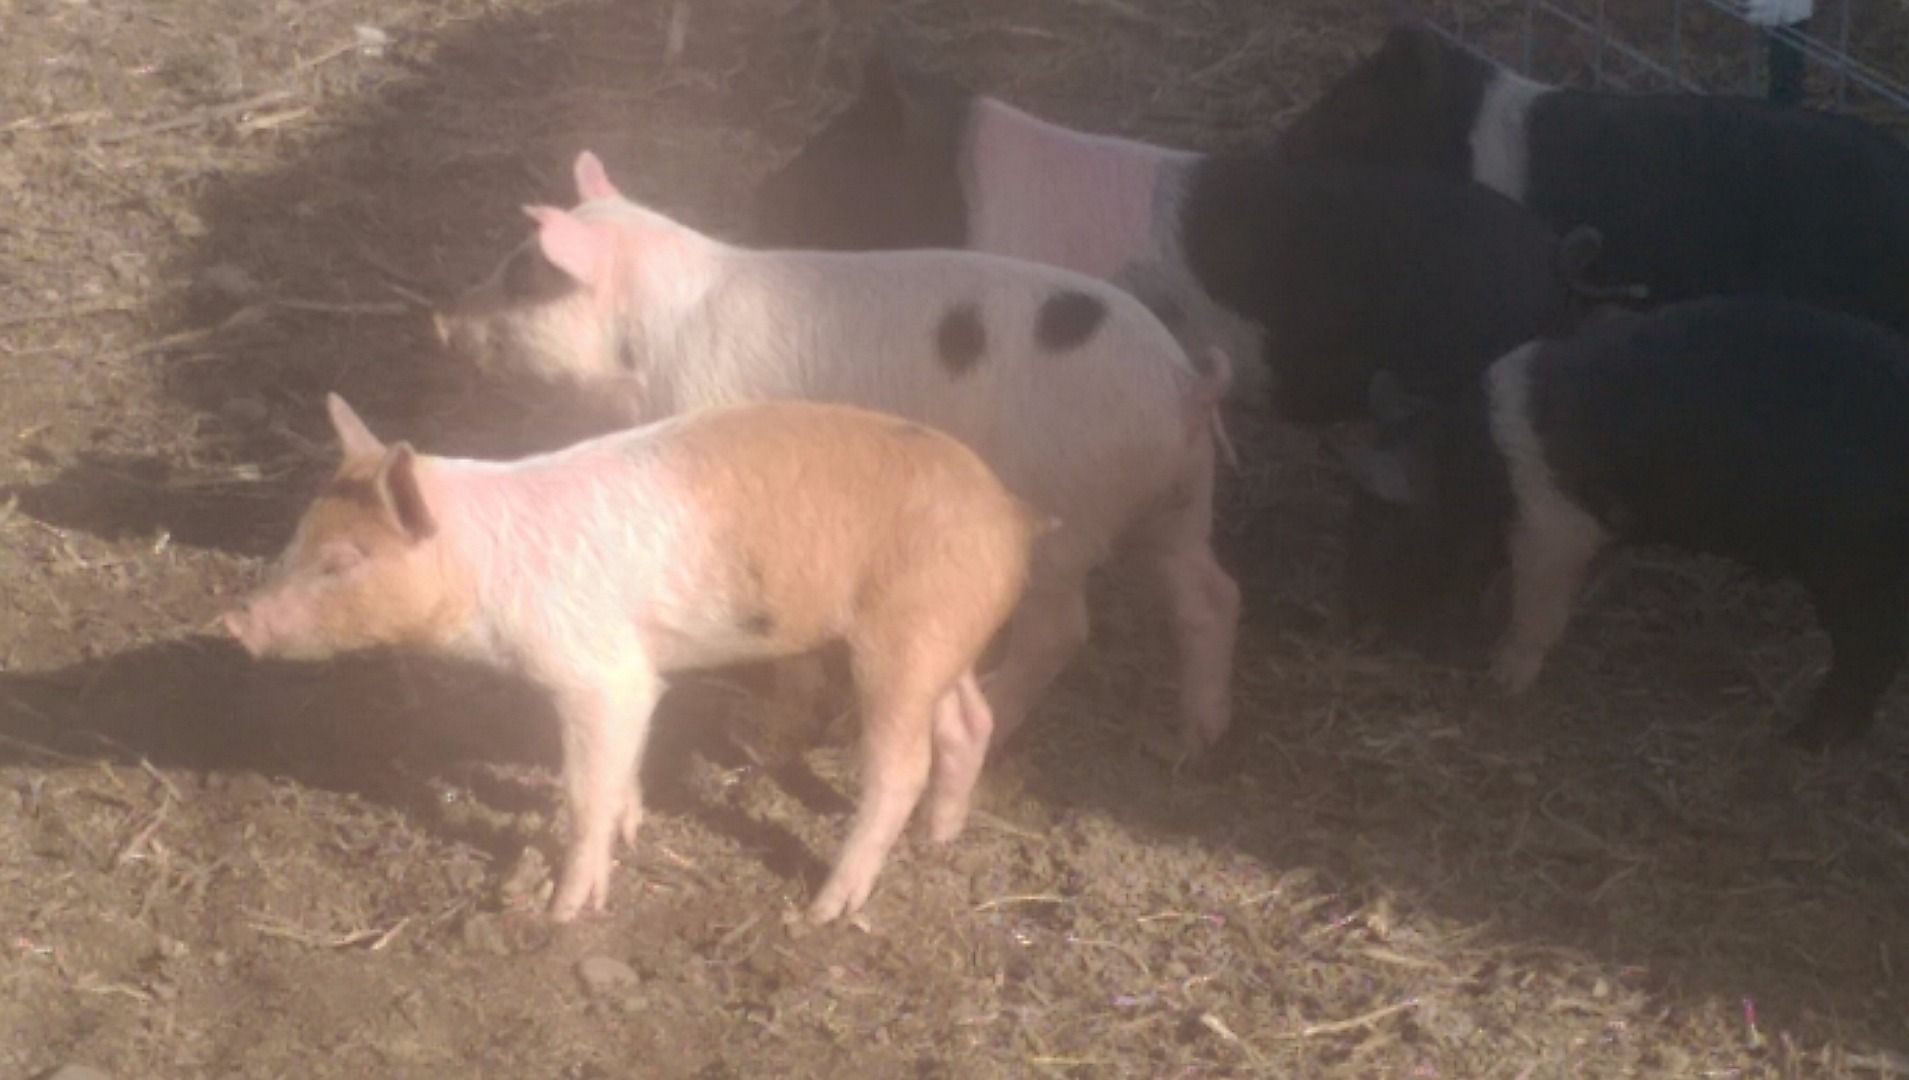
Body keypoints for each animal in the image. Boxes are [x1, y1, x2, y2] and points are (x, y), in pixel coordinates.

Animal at [224, 395, 1045, 923]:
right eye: (298, 537)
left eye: (341, 562)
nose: (236, 621)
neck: (479, 571)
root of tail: (1010, 520)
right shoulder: (628, 682)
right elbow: (620, 771)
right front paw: (631, 828)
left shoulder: (599, 673)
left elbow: (583, 787)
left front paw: (563, 915)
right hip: (944, 642)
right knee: (968, 720)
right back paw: (939, 837)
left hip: (905, 637)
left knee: (898, 767)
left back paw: (824, 910)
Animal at [435, 150, 1240, 757]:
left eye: (522, 277)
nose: (441, 319)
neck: (652, 344)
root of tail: (1185, 385)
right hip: (1180, 497)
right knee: (1209, 592)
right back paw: (1197, 739)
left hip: (1068, 504)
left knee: (1061, 630)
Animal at [1342, 296, 1909, 748]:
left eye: (1384, 532)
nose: (1358, 629)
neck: (1476, 464)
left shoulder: (1555, 529)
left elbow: (1537, 609)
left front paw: (1501, 677)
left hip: (1855, 570)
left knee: (1870, 651)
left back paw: (1806, 738)